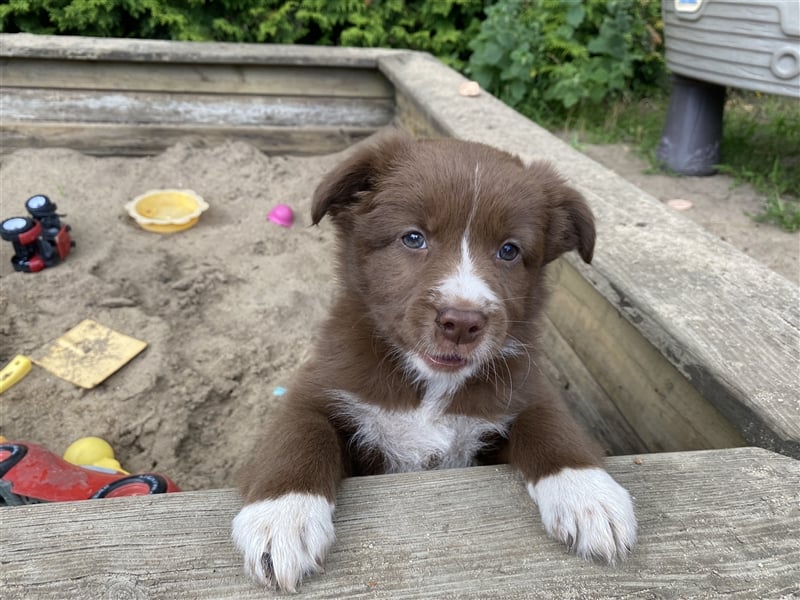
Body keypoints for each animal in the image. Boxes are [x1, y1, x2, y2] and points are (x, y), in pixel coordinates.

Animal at [233, 130, 636, 592]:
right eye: (413, 238)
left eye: (510, 250)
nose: (462, 322)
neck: (429, 385)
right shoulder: (321, 383)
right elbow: (299, 432)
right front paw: (282, 518)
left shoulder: (524, 388)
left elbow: (551, 424)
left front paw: (591, 496)